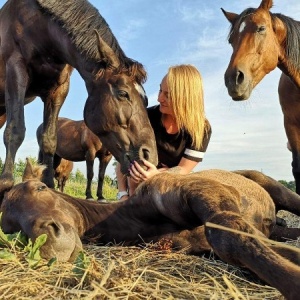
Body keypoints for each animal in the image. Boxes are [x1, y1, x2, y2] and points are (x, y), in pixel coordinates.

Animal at [0, 0, 159, 196]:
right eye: (123, 93)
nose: (150, 157)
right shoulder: (16, 71)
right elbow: (15, 130)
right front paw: (6, 185)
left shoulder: (59, 89)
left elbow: (50, 139)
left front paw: (50, 186)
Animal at [0, 159, 300, 298]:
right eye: (8, 227)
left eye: (41, 187)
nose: (49, 238)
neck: (134, 214)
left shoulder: (209, 191)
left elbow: (227, 233)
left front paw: (292, 280)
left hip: (276, 189)